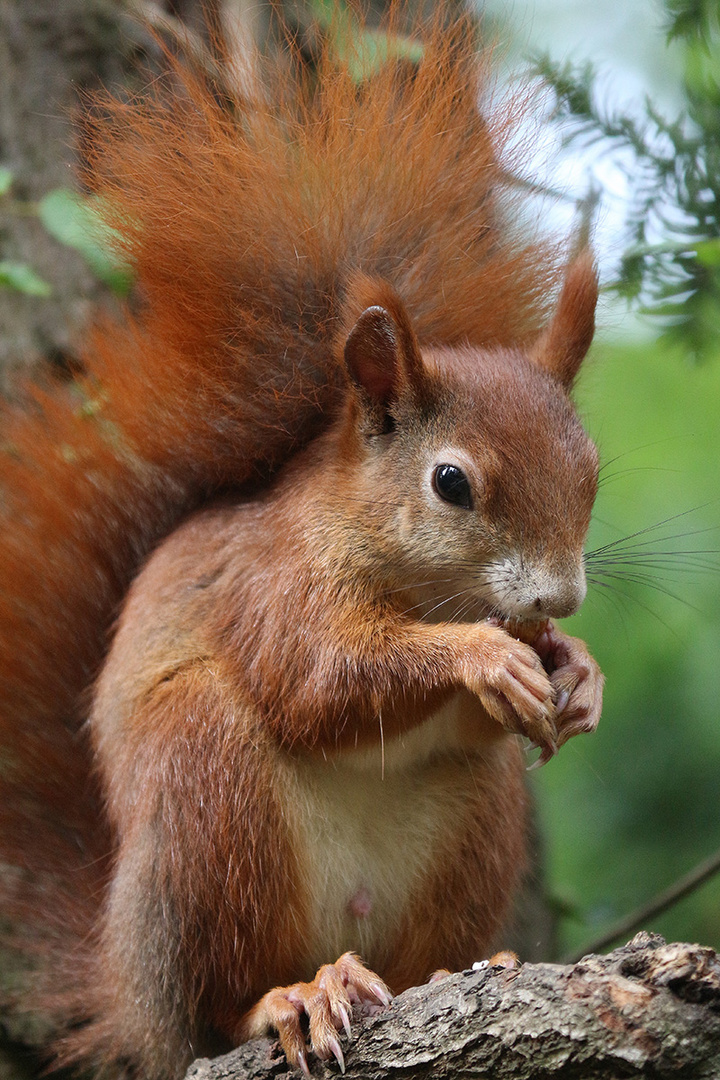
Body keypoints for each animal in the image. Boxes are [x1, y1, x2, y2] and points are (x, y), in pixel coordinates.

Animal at [0, 14, 604, 1080]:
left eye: (594, 471)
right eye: (452, 484)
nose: (559, 601)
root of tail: (127, 992)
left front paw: (578, 673)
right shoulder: (271, 582)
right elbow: (318, 676)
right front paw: (484, 656)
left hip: (474, 823)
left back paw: (458, 968)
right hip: (206, 791)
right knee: (216, 1001)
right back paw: (289, 998)